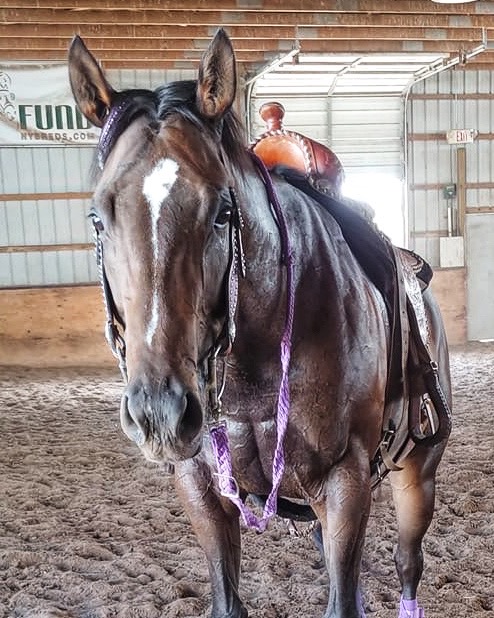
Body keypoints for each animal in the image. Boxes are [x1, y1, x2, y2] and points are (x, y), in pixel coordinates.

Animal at [68, 29, 451, 618]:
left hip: (417, 472)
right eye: (98, 217)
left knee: (408, 564)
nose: (159, 412)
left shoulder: (346, 481)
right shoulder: (201, 485)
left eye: (223, 212)